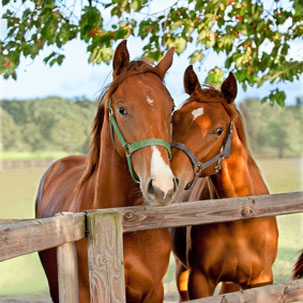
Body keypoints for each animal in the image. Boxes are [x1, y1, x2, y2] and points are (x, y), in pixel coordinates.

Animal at [170, 65, 280, 300]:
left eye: (218, 130)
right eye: (174, 119)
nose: (170, 178)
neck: (239, 217)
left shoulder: (261, 280)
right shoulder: (199, 281)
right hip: (182, 271)